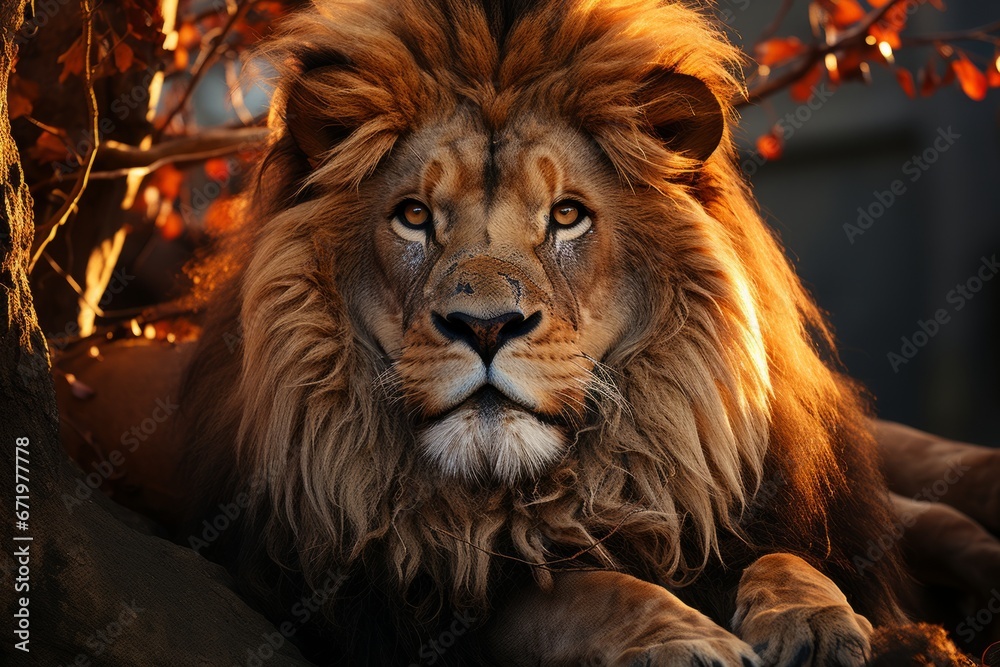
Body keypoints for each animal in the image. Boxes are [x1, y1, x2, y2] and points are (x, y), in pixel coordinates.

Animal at [166, 0, 958, 663]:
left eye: (567, 215)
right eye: (414, 216)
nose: (486, 325)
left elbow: (789, 558)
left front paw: (816, 622)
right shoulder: (404, 608)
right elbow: (582, 591)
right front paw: (686, 638)